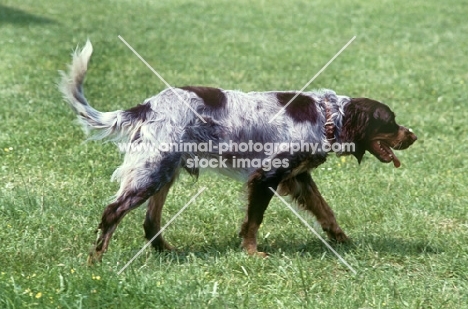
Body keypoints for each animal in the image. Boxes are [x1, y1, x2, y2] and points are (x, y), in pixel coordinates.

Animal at [59, 40, 416, 262]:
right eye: (391, 121)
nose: (412, 135)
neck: (327, 116)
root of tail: (147, 106)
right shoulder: (266, 176)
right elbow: (253, 221)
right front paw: (253, 253)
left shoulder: (298, 179)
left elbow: (327, 212)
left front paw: (344, 241)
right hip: (152, 171)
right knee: (111, 213)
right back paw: (95, 263)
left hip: (165, 172)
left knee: (149, 223)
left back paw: (167, 252)